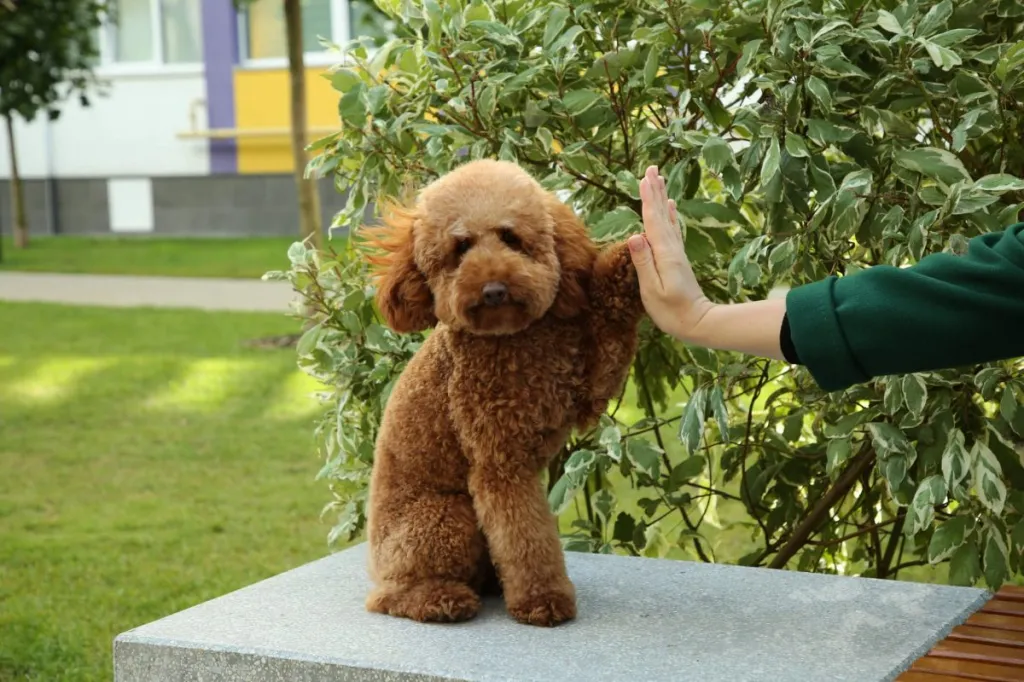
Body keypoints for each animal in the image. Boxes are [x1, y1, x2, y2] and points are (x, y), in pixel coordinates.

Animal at [362, 156, 638, 622]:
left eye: (511, 237)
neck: (514, 339)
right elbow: (525, 537)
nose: (493, 289)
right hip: (445, 516)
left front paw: (633, 261)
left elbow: (613, 323)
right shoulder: (499, 461)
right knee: (389, 597)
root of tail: (375, 567)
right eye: (460, 249)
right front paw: (543, 600)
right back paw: (441, 598)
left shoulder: (585, 387)